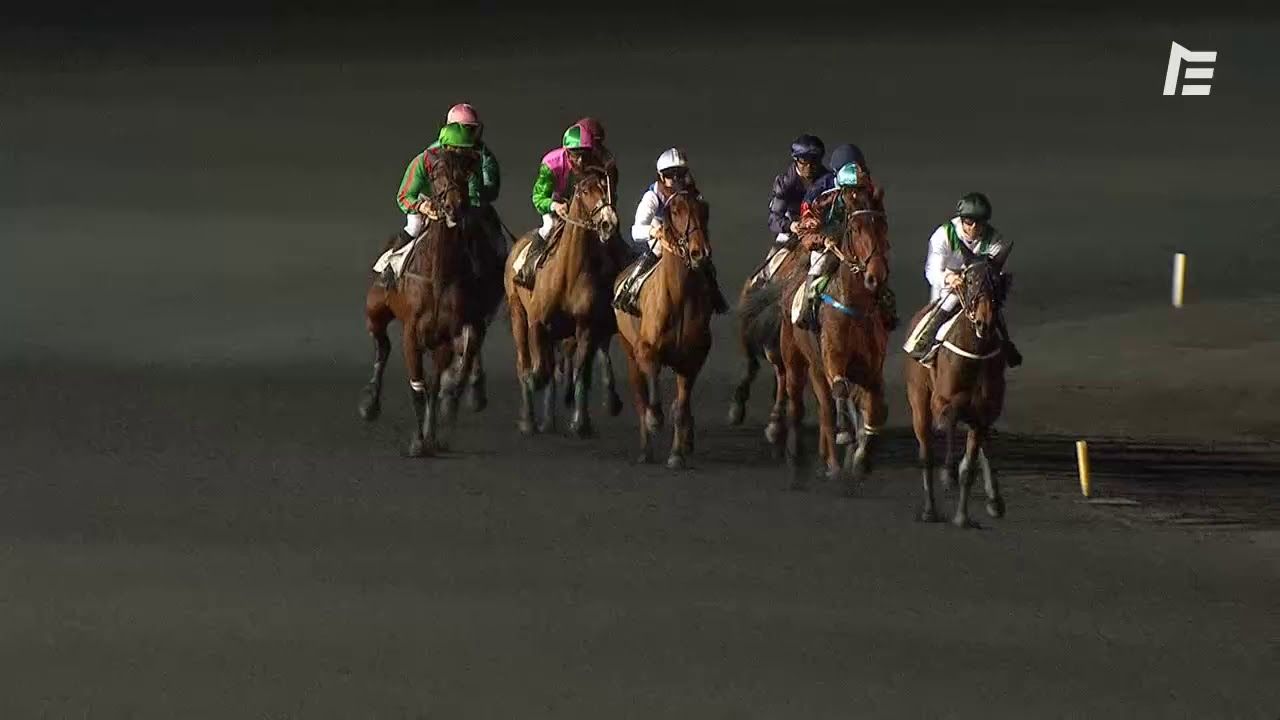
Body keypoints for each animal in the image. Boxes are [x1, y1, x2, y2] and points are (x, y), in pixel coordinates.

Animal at [357, 147, 486, 457]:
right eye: (437, 175)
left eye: (465, 174)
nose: (453, 206)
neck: (437, 275)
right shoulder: (411, 334)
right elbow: (417, 387)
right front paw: (417, 441)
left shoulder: (445, 336)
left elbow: (434, 388)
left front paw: (432, 437)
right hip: (375, 311)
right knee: (382, 347)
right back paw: (370, 402)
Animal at [504, 166, 621, 438]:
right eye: (586, 190)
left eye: (607, 186)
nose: (608, 222)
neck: (569, 272)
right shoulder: (537, 323)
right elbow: (540, 370)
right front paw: (535, 381)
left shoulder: (585, 326)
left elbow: (580, 372)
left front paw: (581, 423)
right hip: (517, 314)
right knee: (523, 363)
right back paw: (529, 420)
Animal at [613, 187, 715, 469]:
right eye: (677, 211)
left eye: (704, 210)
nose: (700, 252)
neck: (678, 297)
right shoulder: (645, 350)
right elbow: (652, 397)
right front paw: (655, 419)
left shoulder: (691, 359)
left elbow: (680, 407)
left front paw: (677, 454)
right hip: (628, 351)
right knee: (639, 398)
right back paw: (645, 450)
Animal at [776, 184, 892, 493]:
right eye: (856, 228)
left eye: (883, 226)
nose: (876, 277)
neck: (855, 308)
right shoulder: (833, 359)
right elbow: (839, 393)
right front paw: (845, 436)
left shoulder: (870, 370)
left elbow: (875, 406)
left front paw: (862, 458)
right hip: (796, 360)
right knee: (802, 406)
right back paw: (802, 463)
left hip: (818, 370)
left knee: (826, 408)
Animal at [904, 248, 1008, 528]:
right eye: (969, 280)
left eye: (999, 282)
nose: (984, 323)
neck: (975, 354)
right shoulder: (940, 401)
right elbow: (948, 418)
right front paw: (947, 473)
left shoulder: (983, 411)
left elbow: (969, 467)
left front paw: (962, 517)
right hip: (918, 399)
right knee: (926, 453)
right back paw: (929, 509)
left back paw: (994, 500)